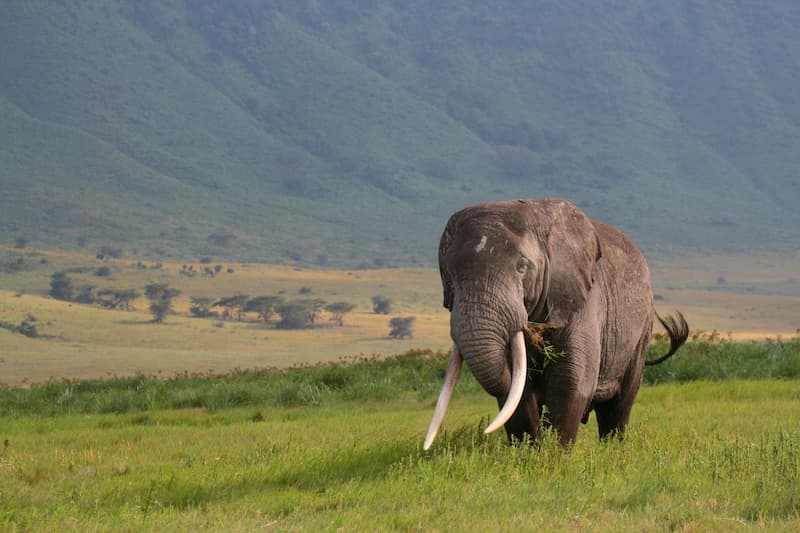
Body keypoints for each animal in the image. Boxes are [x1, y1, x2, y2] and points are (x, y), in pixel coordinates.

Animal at [422, 200, 692, 448]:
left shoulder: (583, 299)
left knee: (619, 406)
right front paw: (528, 454)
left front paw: (554, 456)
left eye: (522, 267)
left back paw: (614, 451)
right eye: (449, 274)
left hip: (642, 327)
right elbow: (519, 389)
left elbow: (570, 381)